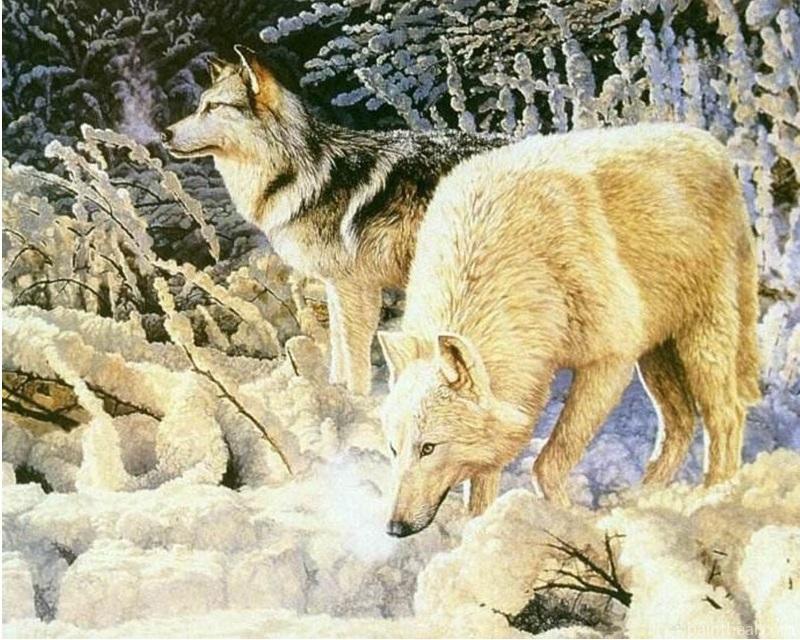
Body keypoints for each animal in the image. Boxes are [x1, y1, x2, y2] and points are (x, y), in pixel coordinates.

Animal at [162, 45, 505, 395]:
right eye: (200, 105)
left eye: (213, 106)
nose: (164, 133)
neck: (302, 173)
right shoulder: (335, 286)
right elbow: (339, 350)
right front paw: (338, 392)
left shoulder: (356, 288)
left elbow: (354, 358)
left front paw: (357, 398)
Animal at [377, 123, 761, 537]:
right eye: (393, 448)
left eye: (428, 447)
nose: (394, 527)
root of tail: (708, 143)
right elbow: (482, 483)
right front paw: (479, 530)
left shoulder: (609, 362)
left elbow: (548, 461)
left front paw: (566, 520)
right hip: (655, 354)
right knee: (680, 425)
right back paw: (643, 497)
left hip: (700, 340)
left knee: (726, 415)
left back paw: (715, 498)